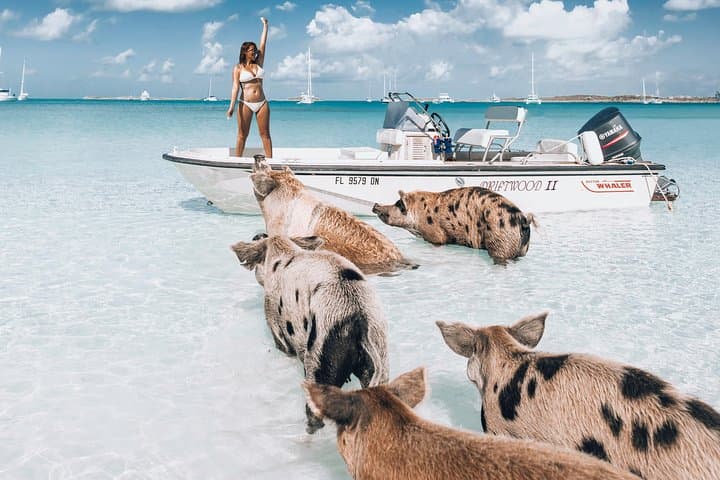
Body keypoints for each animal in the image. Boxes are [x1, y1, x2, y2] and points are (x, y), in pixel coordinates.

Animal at [372, 187, 537, 264]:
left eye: (397, 204)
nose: (376, 205)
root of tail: (522, 219)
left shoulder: (435, 233)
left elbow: (438, 241)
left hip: (500, 238)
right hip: (523, 247)